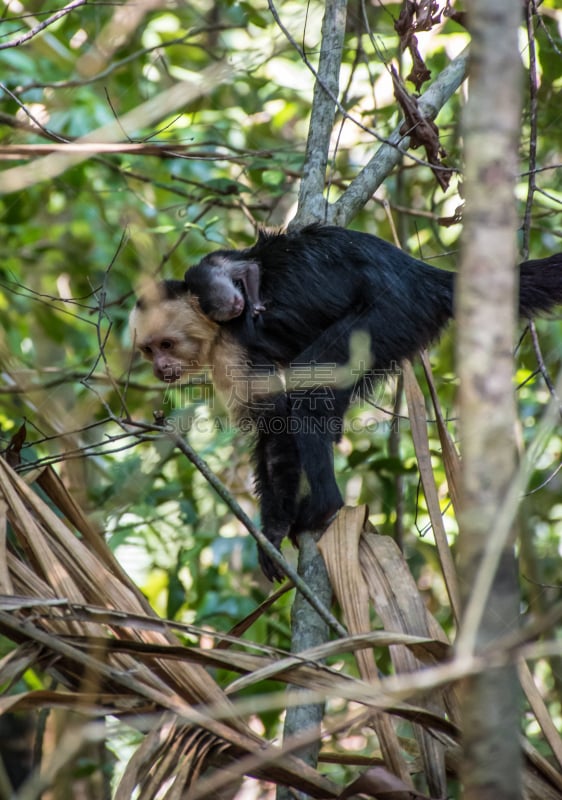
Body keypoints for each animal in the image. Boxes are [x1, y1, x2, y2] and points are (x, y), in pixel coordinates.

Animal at [129, 225, 560, 580]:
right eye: (148, 350)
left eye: (166, 345)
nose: (160, 369)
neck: (210, 327)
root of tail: (423, 276)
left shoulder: (232, 346)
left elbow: (276, 424)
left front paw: (274, 529)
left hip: (386, 315)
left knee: (308, 395)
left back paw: (324, 506)